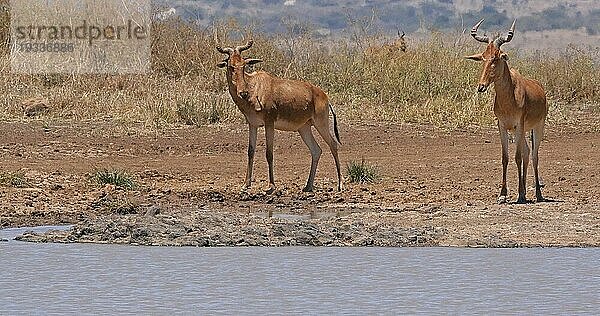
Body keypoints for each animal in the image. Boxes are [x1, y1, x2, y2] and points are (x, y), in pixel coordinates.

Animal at [217, 39, 342, 193]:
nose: (243, 93)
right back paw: (308, 186)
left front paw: (271, 186)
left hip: (321, 123)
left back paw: (340, 184)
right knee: (316, 150)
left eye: (244, 65)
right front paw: (245, 185)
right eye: (230, 66)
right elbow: (250, 151)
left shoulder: (269, 123)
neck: (255, 86)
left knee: (333, 144)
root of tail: (324, 96)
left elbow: (269, 153)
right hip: (304, 128)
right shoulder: (253, 124)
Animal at [466, 18, 552, 204]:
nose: (481, 87)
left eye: (497, 57)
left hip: (537, 127)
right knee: (527, 152)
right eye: (483, 57)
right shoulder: (502, 126)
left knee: (534, 156)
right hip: (520, 131)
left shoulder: (519, 125)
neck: (510, 96)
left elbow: (517, 157)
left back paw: (537, 194)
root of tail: (540, 87)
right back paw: (525, 191)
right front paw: (503, 195)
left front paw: (519, 194)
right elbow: (505, 158)